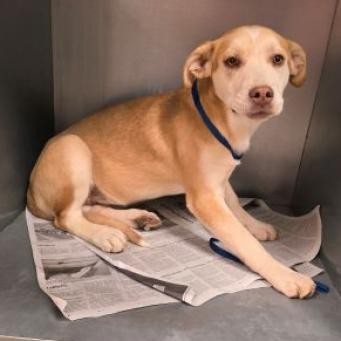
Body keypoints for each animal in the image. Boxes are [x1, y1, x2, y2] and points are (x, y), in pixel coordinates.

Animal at [27, 25, 314, 298]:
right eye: (231, 61)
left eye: (278, 59)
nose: (263, 93)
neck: (223, 119)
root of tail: (30, 193)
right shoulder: (204, 198)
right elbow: (243, 241)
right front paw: (285, 275)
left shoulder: (220, 180)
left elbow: (235, 205)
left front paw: (256, 226)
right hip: (72, 149)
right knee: (65, 217)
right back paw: (104, 234)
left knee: (88, 209)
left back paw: (137, 217)